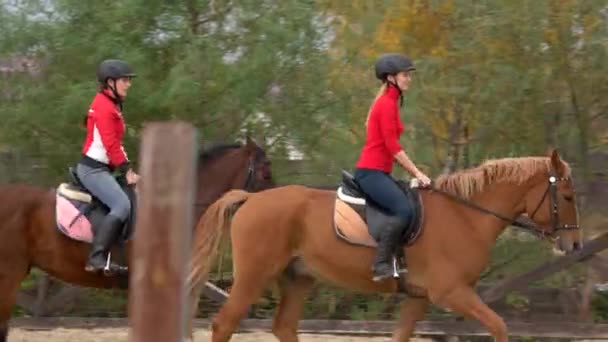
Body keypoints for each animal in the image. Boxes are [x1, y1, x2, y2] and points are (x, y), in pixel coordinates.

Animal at [188, 150, 580, 342]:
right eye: (566, 196)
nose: (574, 246)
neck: (465, 215)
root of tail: (251, 199)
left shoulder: (419, 298)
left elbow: (400, 337)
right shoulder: (452, 292)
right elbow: (499, 327)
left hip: (298, 277)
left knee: (284, 327)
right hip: (254, 275)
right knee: (224, 325)